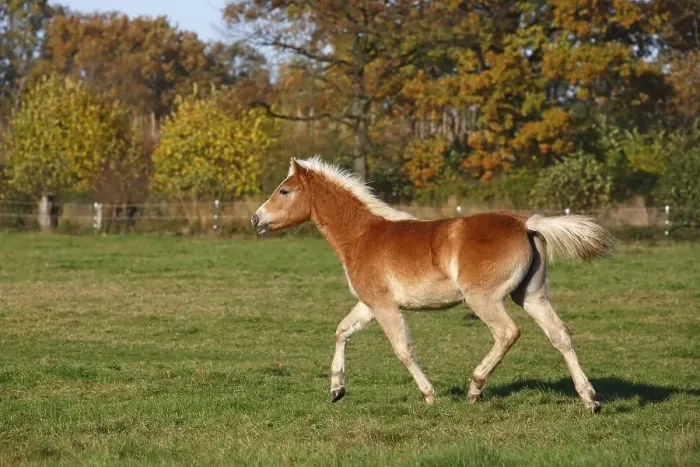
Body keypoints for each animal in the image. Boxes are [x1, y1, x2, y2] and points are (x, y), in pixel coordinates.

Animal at [251, 156, 614, 413]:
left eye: (284, 190)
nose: (256, 219)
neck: (362, 235)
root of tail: (524, 223)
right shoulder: (370, 304)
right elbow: (342, 331)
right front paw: (336, 389)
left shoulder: (384, 306)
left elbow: (403, 349)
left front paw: (430, 395)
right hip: (532, 296)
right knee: (560, 335)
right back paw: (590, 399)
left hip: (484, 299)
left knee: (508, 333)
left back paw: (475, 387)